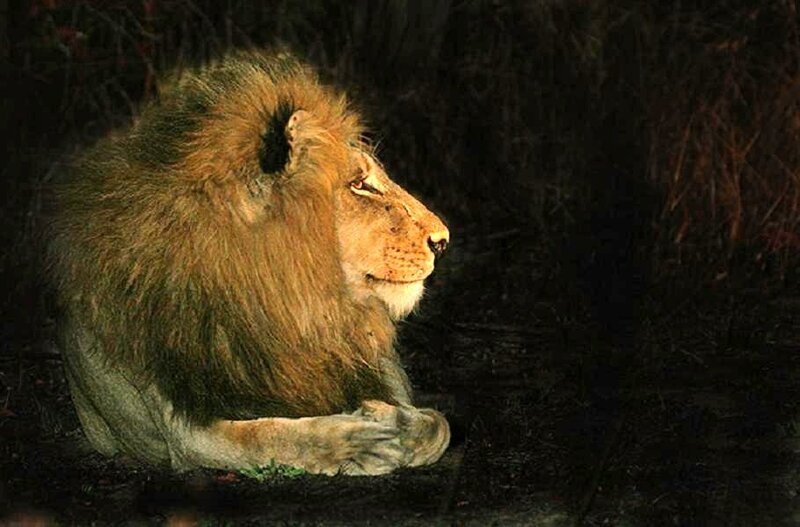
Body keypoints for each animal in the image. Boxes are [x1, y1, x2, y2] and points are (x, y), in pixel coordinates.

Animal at [44, 50, 451, 475]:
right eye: (360, 184)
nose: (443, 241)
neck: (286, 304)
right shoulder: (185, 430)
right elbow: (272, 436)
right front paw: (364, 443)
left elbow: (440, 424)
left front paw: (399, 421)